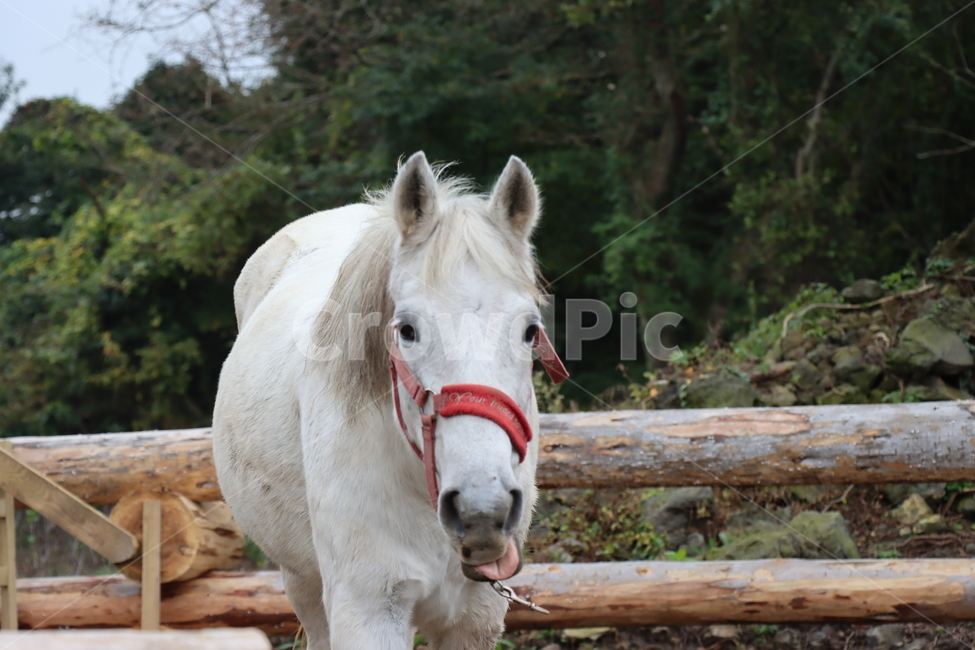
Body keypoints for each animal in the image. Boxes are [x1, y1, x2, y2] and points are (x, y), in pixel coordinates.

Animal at [212, 152, 566, 649]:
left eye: (531, 331)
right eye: (407, 330)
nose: (481, 507)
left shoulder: (475, 617)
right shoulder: (368, 609)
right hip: (302, 582)